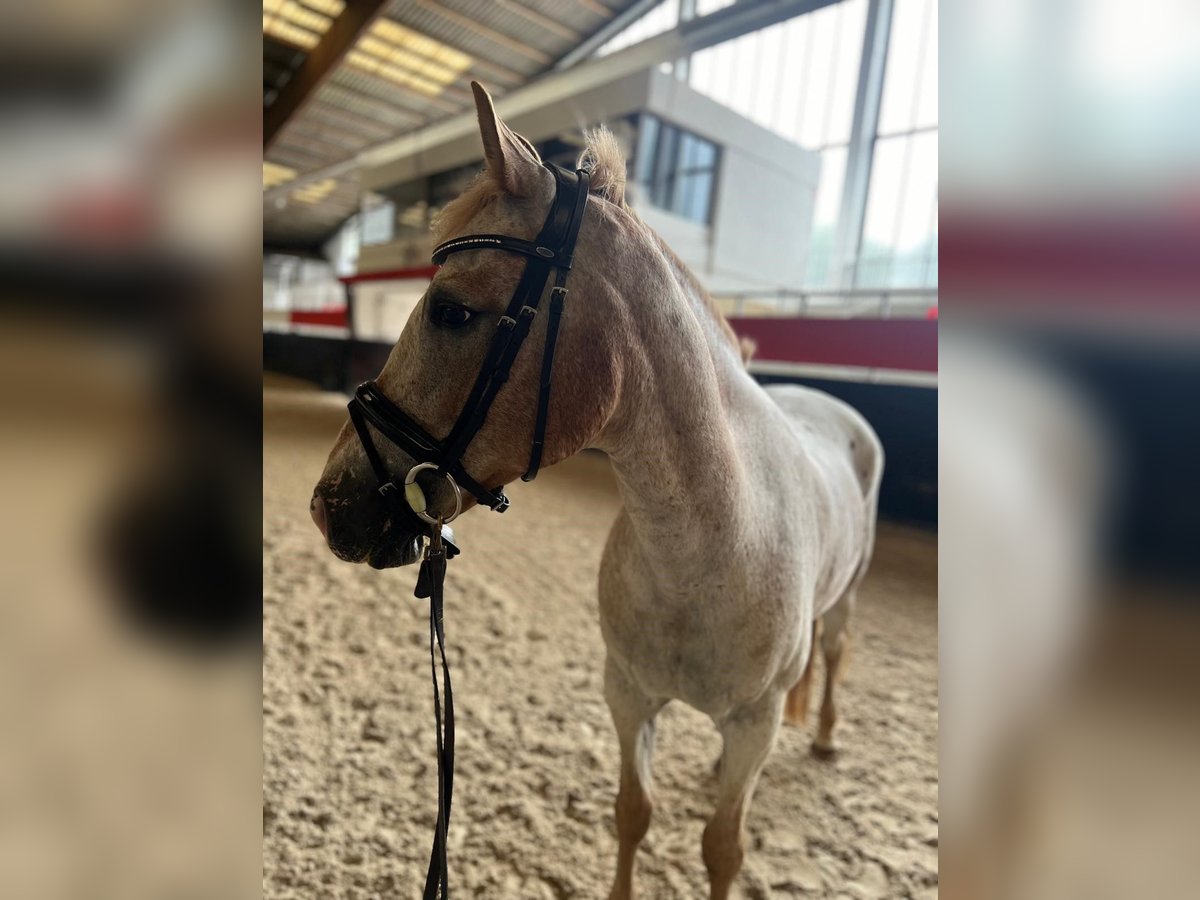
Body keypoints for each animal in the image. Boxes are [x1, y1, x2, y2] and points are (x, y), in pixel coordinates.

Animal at [314, 82, 888, 897]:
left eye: (452, 310)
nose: (330, 503)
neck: (710, 549)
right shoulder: (628, 696)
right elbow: (633, 814)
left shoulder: (757, 721)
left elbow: (722, 847)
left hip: (841, 606)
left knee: (836, 653)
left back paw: (830, 739)